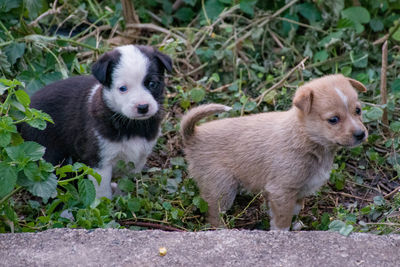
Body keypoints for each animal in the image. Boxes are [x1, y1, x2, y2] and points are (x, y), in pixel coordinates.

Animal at [20, 45, 172, 199]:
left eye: (152, 84)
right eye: (123, 88)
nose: (142, 107)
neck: (131, 126)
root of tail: (27, 110)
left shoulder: (138, 160)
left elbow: (126, 186)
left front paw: (121, 198)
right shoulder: (99, 161)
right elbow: (101, 192)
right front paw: (105, 203)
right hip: (50, 155)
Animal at [181, 75, 368, 230]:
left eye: (358, 110)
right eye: (333, 120)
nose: (361, 134)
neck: (304, 137)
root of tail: (194, 136)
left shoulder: (297, 190)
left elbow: (293, 209)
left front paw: (297, 224)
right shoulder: (282, 190)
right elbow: (282, 220)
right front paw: (281, 232)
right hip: (221, 188)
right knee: (214, 215)